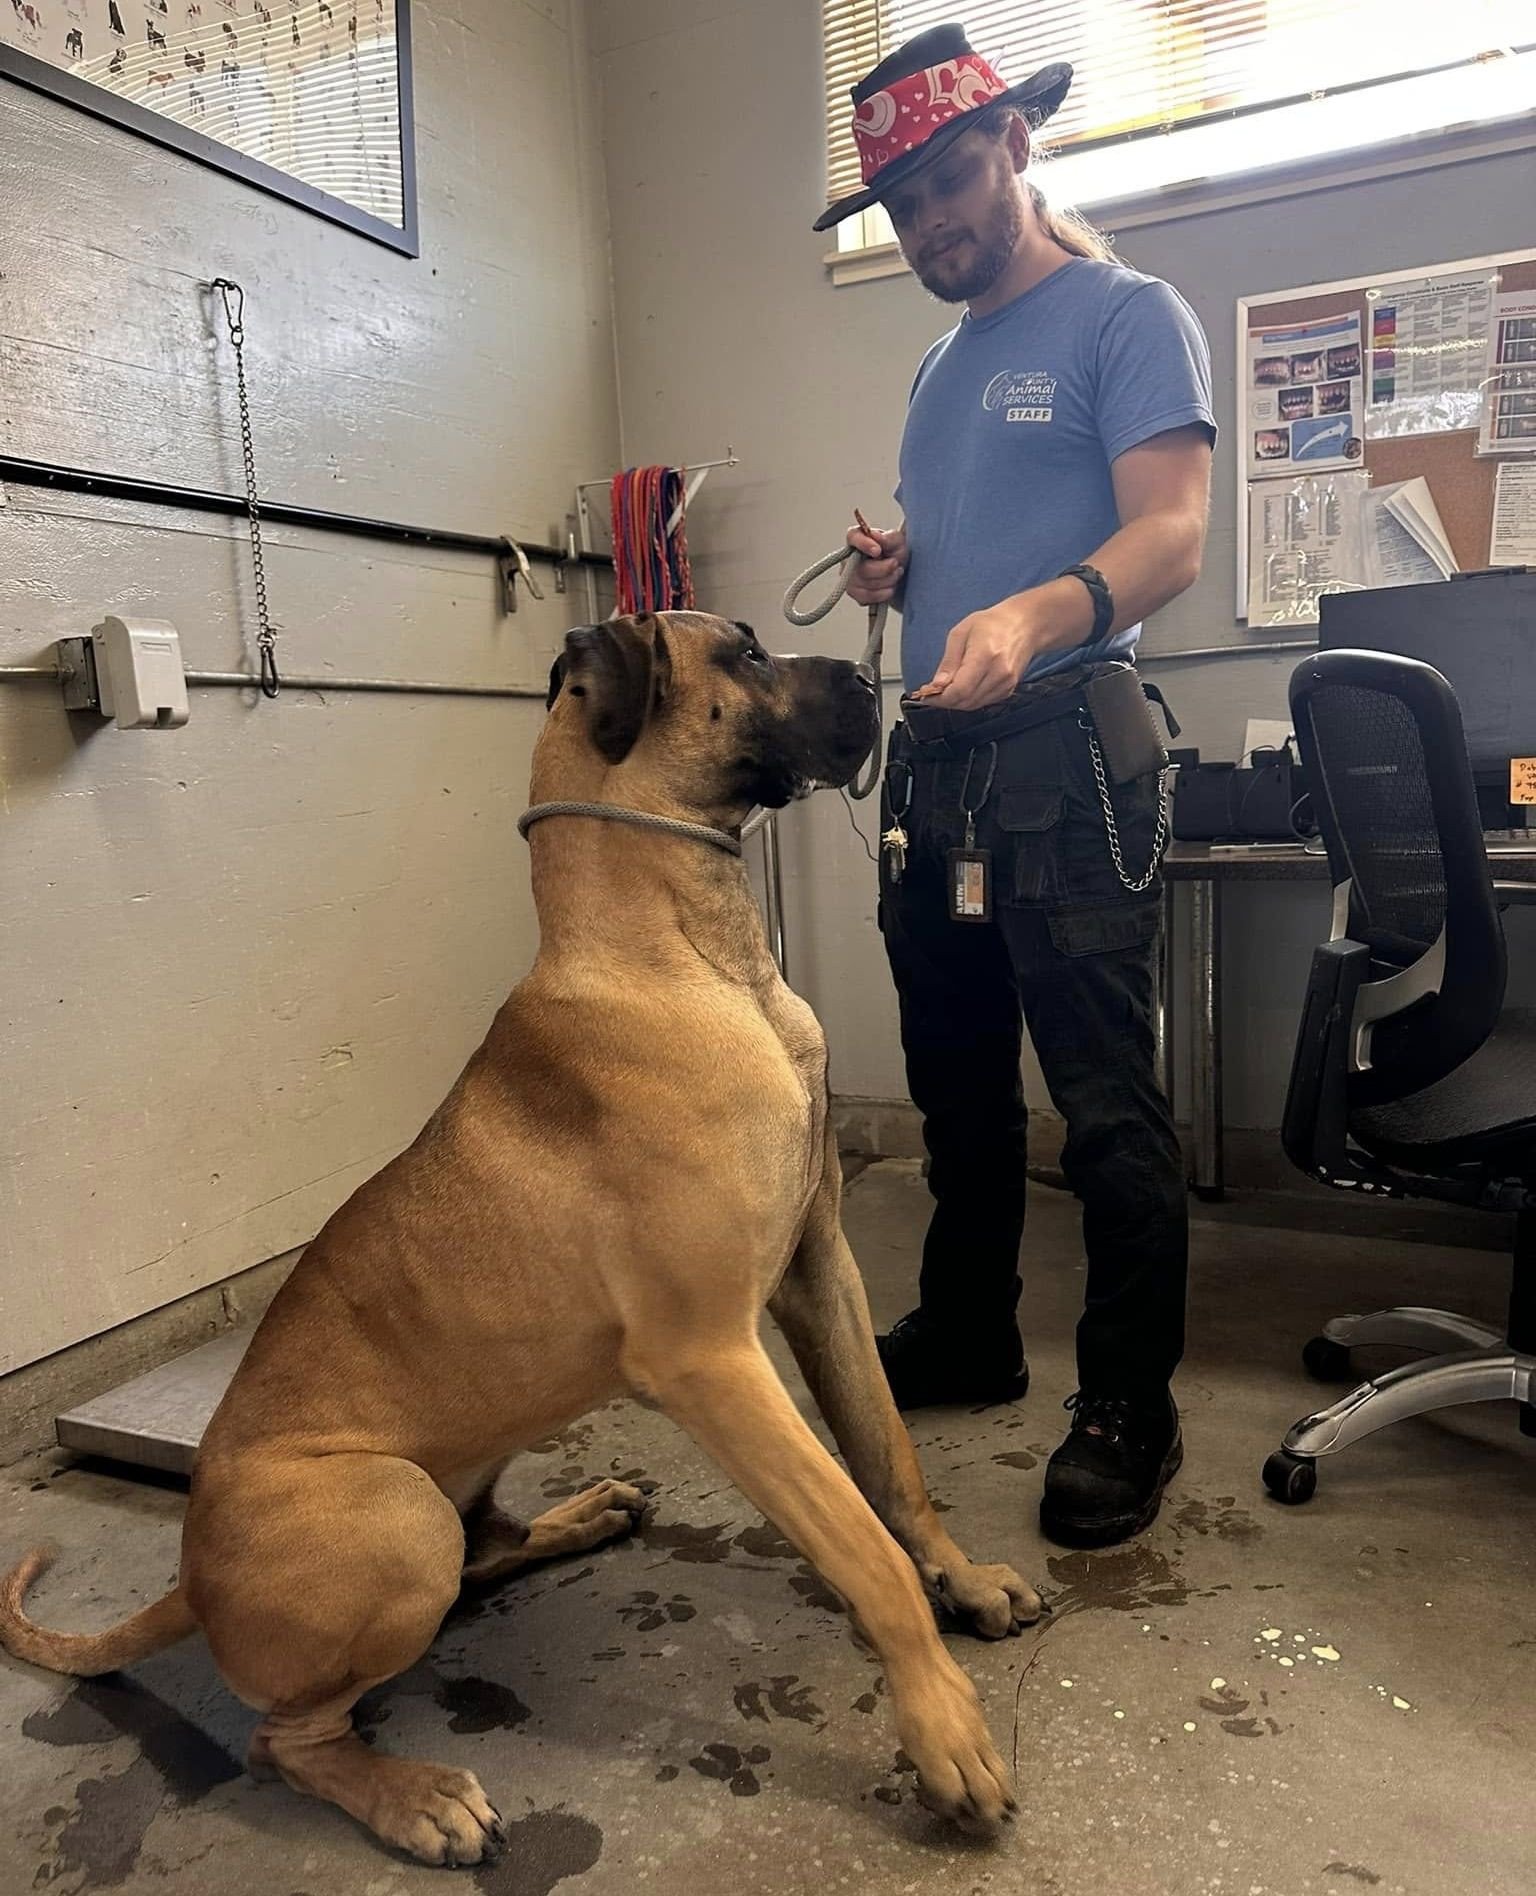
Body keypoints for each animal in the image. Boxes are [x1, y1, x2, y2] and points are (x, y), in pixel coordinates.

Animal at [2, 610, 1039, 1865]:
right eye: (744, 653)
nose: (874, 674)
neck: (690, 952)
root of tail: (192, 1581)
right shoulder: (713, 1358)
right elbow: (859, 1543)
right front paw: (944, 1726)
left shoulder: (817, 1274)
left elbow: (891, 1466)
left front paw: (963, 1581)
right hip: (396, 1516)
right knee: (289, 1736)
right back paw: (412, 1798)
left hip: (474, 1467)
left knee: (482, 1555)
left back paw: (582, 1515)